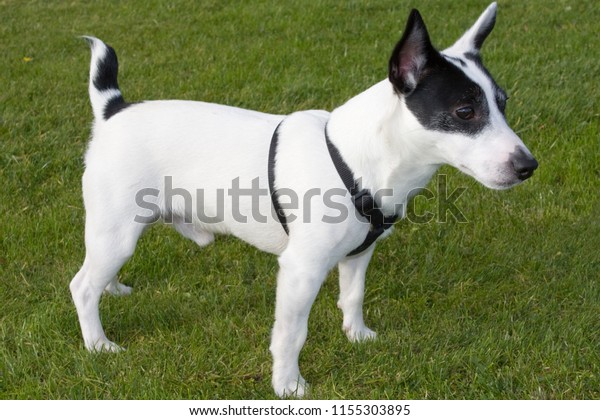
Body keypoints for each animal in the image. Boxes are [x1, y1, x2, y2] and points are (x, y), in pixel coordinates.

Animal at [71, 3, 540, 398]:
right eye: (465, 112)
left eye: (503, 104)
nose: (528, 166)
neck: (358, 157)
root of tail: (113, 109)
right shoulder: (301, 270)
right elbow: (291, 334)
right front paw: (287, 385)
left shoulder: (358, 254)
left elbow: (353, 296)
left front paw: (357, 336)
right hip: (117, 231)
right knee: (82, 286)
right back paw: (97, 343)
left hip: (119, 233)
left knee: (99, 272)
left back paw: (113, 289)